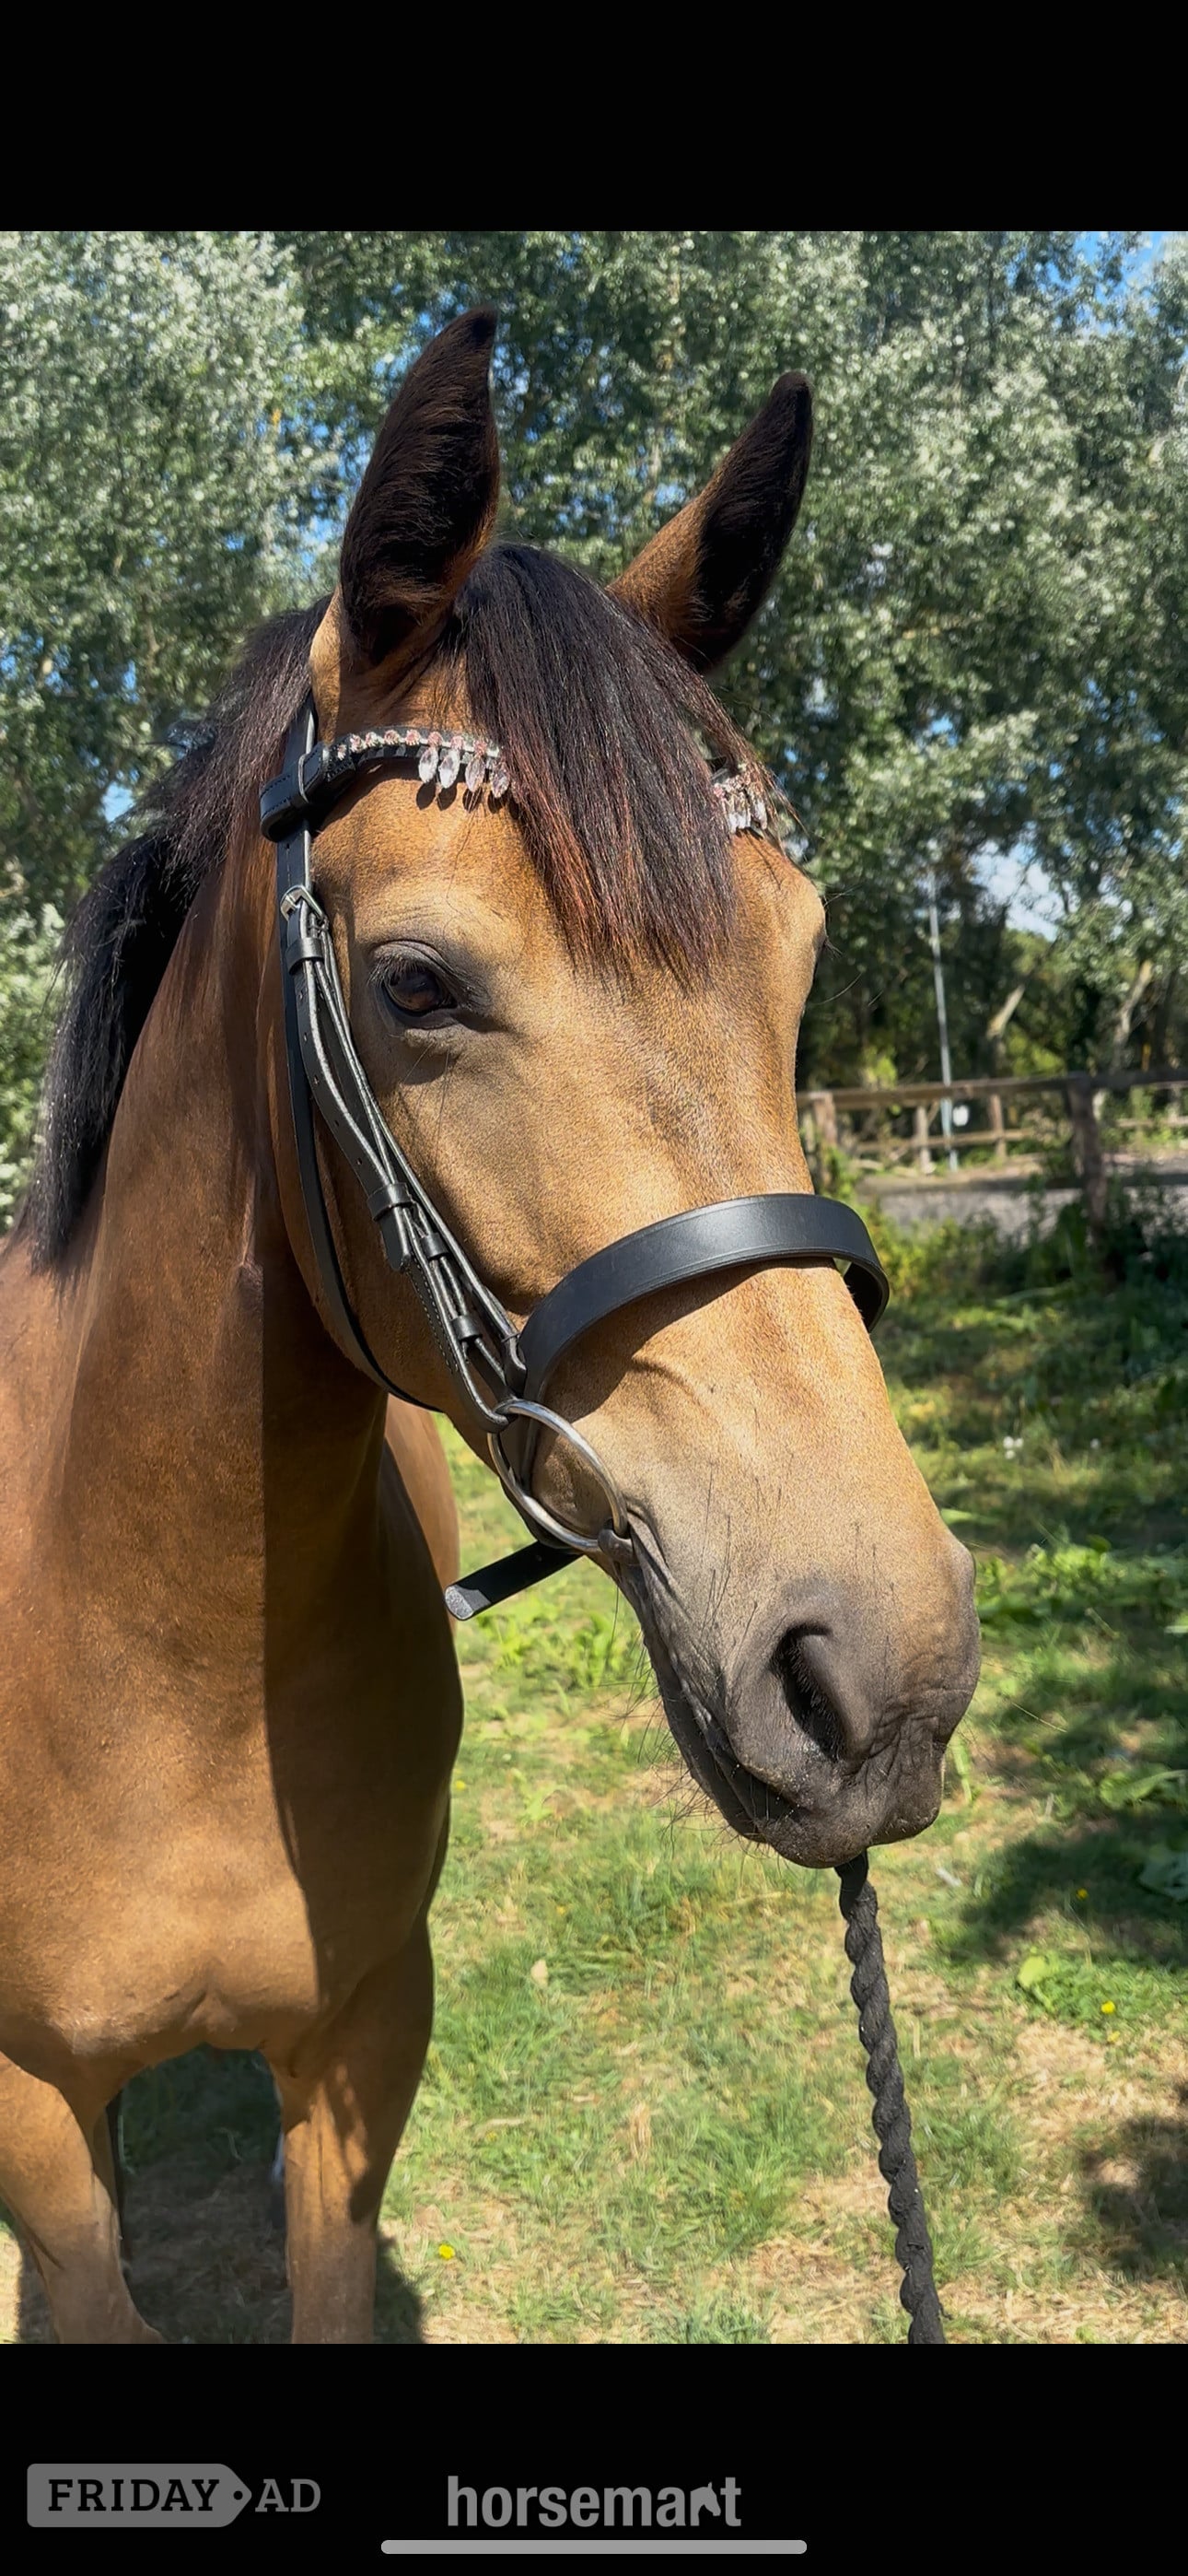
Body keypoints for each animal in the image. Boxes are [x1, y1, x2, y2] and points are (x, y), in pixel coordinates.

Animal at [0, 308, 979, 2344]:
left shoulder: (362, 2057)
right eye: (417, 985)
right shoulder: (30, 2116)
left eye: (801, 952)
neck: (154, 1652)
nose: (885, 1672)